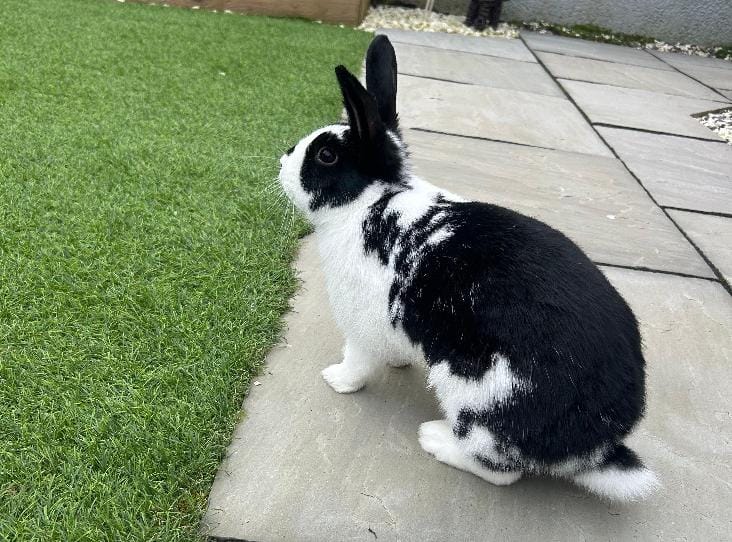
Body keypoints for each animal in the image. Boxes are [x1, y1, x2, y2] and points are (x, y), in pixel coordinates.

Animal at [278, 35, 659, 502]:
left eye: (326, 155)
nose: (282, 161)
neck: (373, 200)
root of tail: (594, 449)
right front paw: (399, 363)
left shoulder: (362, 324)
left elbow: (358, 360)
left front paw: (336, 380)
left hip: (478, 403)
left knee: (500, 471)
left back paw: (434, 439)